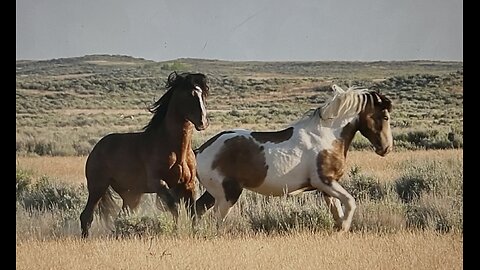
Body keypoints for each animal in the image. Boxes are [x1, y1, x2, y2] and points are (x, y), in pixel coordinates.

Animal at [79, 70, 209, 237]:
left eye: (202, 94)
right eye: (189, 95)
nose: (202, 122)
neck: (176, 150)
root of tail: (96, 149)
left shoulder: (188, 185)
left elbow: (192, 211)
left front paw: (195, 233)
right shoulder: (158, 183)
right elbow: (174, 208)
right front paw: (176, 231)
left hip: (130, 194)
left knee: (121, 216)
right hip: (98, 187)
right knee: (87, 216)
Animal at [195, 86, 394, 232]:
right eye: (385, 116)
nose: (386, 148)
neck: (327, 136)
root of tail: (199, 151)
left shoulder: (327, 188)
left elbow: (337, 210)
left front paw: (339, 228)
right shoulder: (324, 182)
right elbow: (350, 202)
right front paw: (344, 227)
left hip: (215, 193)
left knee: (198, 209)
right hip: (228, 194)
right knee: (216, 218)